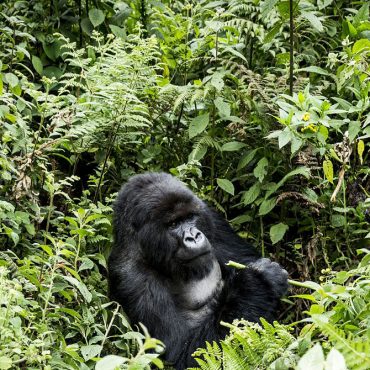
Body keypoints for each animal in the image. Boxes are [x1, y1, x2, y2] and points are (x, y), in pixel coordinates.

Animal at [107, 172, 290, 368]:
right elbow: (183, 352)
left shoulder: (210, 217)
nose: (194, 237)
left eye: (189, 217)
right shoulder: (132, 278)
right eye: (173, 224)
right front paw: (259, 279)